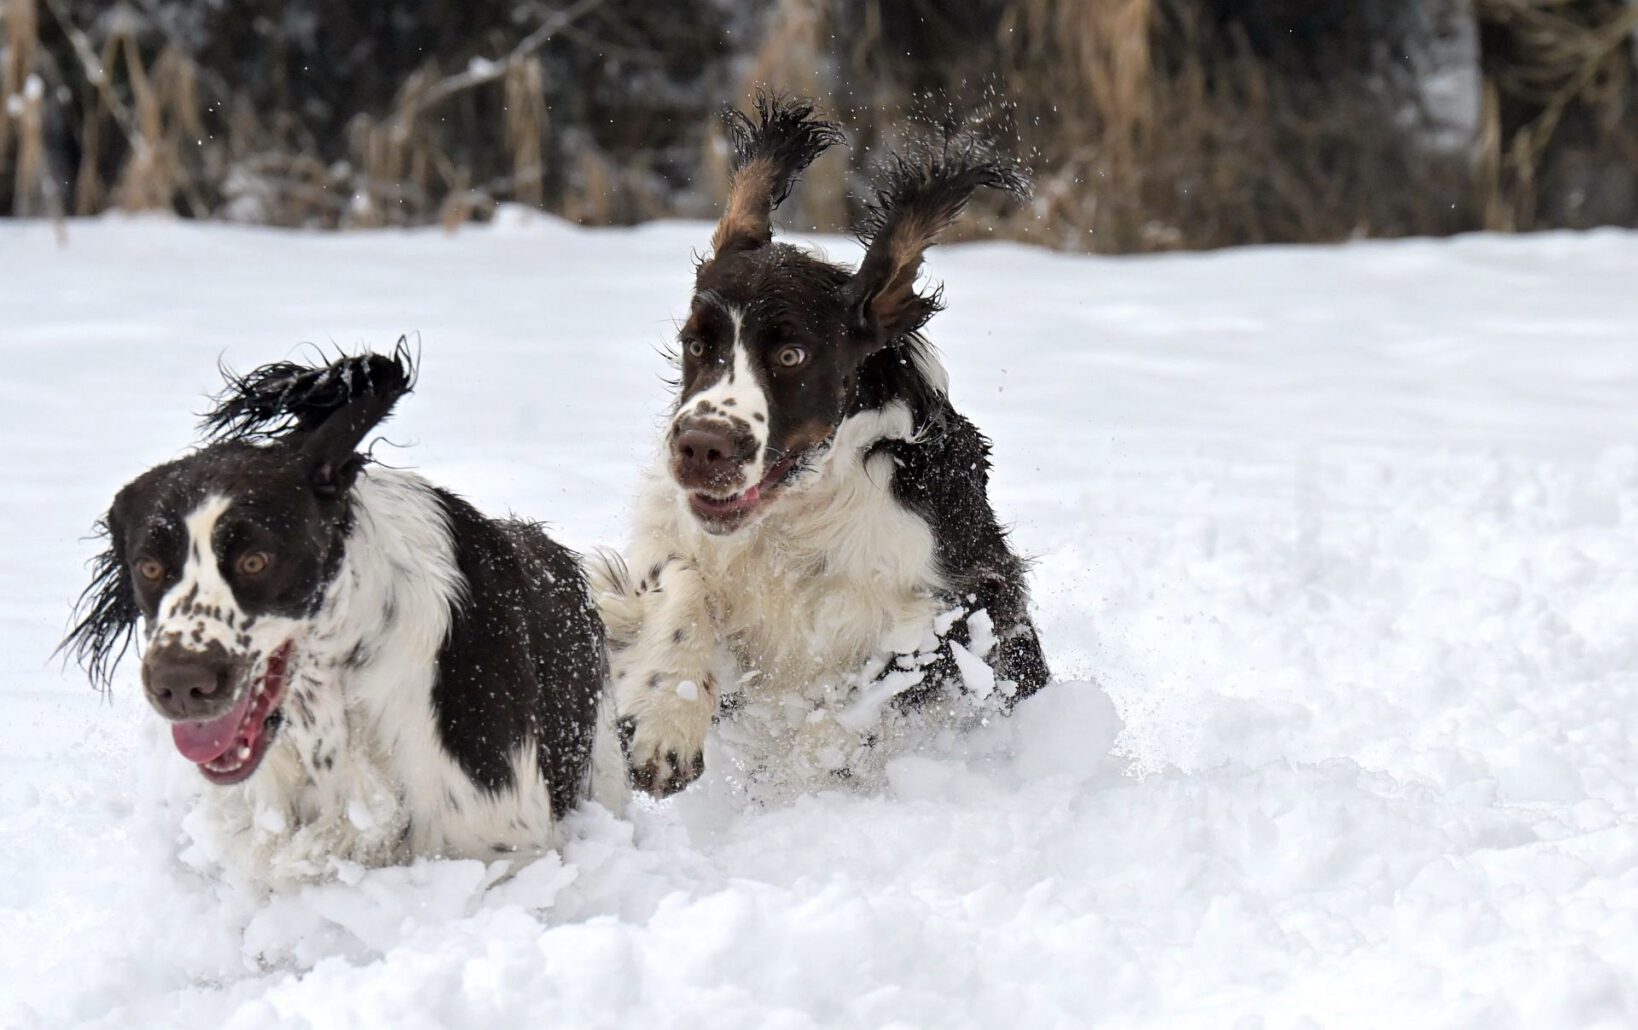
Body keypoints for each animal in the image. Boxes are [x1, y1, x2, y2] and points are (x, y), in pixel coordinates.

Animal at [593, 95, 1051, 797]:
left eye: (791, 354)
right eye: (696, 343)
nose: (700, 449)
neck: (796, 515)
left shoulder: (961, 600)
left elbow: (865, 699)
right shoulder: (676, 542)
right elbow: (682, 581)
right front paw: (665, 723)